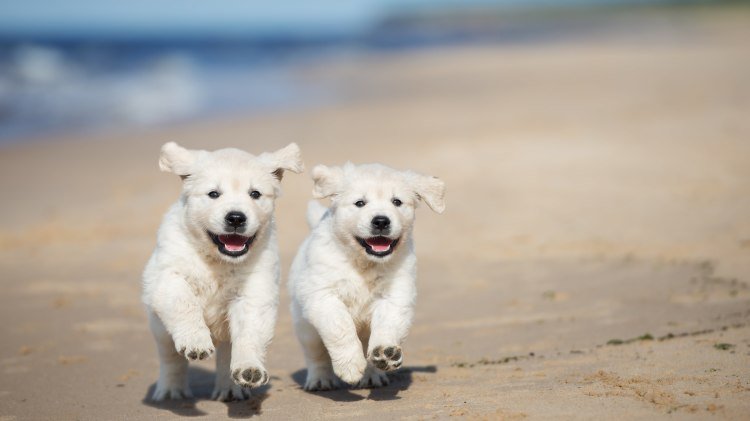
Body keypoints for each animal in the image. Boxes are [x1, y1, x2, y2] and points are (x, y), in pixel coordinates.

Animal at [142, 141, 304, 400]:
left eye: (255, 194)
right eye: (213, 194)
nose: (236, 218)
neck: (220, 261)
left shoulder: (254, 293)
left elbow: (249, 333)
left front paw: (249, 368)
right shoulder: (167, 277)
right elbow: (184, 303)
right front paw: (196, 342)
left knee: (227, 350)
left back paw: (230, 389)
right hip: (159, 327)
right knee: (170, 357)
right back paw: (170, 390)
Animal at [290, 162, 446, 388]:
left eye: (396, 202)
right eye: (360, 203)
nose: (381, 221)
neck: (365, 263)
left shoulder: (395, 296)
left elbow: (388, 325)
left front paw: (385, 353)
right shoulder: (322, 295)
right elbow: (340, 327)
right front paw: (350, 366)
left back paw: (373, 375)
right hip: (305, 327)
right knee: (315, 354)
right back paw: (320, 380)